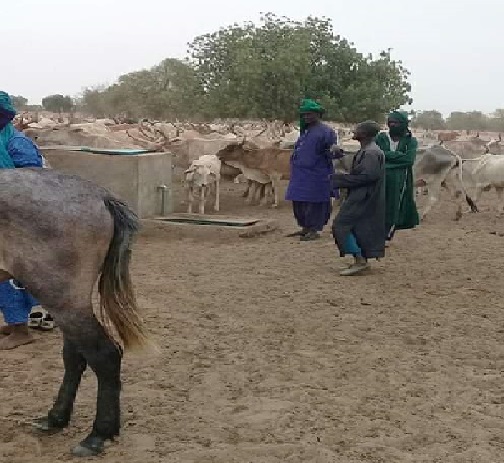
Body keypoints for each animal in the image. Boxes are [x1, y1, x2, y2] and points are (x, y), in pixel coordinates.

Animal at [0, 167, 150, 456]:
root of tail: (99, 195)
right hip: (68, 303)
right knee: (75, 356)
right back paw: (56, 418)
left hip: (62, 299)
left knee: (104, 355)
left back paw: (97, 435)